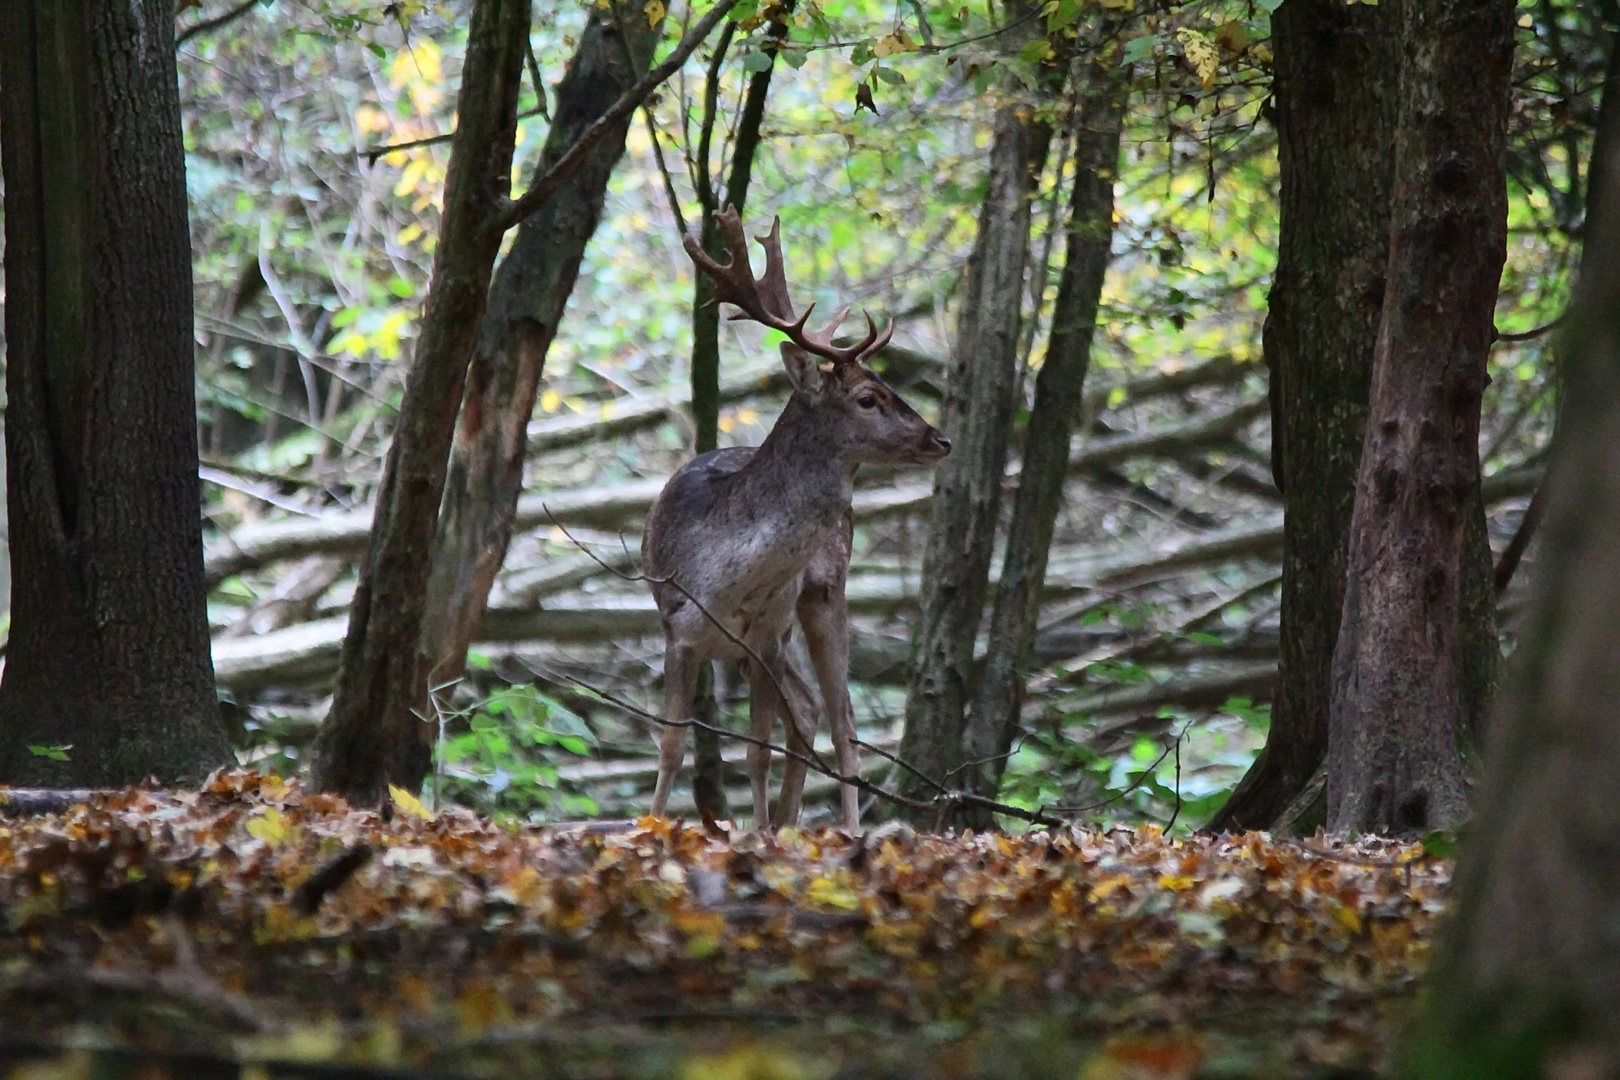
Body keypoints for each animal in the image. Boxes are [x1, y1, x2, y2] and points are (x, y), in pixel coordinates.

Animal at [641, 208, 946, 829]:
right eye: (867, 397)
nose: (939, 438)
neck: (728, 579)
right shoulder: (679, 629)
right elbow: (672, 745)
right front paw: (654, 826)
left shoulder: (765, 639)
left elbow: (758, 752)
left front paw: (757, 833)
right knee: (808, 712)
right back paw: (789, 822)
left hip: (825, 591)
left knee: (841, 721)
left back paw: (839, 829)